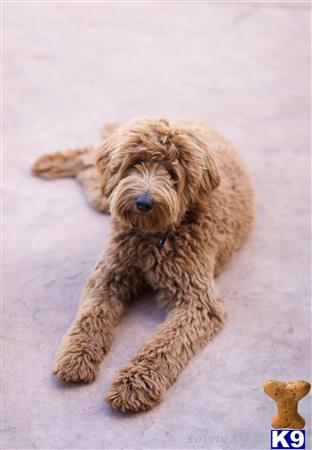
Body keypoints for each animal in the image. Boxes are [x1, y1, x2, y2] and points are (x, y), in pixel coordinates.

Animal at [31, 118, 255, 412]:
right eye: (136, 163)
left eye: (173, 172)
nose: (144, 202)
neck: (151, 237)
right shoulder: (109, 275)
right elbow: (90, 316)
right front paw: (75, 356)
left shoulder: (197, 302)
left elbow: (166, 343)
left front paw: (134, 385)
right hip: (107, 194)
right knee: (89, 159)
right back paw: (51, 162)